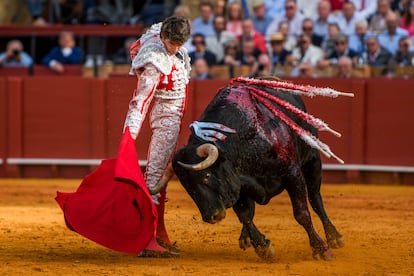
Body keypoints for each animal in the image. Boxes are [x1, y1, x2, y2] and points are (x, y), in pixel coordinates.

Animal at [155, 78, 350, 260]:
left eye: (206, 176)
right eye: (187, 187)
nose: (211, 216)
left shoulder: (292, 173)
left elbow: (302, 213)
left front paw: (321, 249)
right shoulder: (238, 184)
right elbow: (245, 215)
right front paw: (263, 246)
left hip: (312, 160)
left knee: (316, 199)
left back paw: (334, 237)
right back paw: (246, 238)